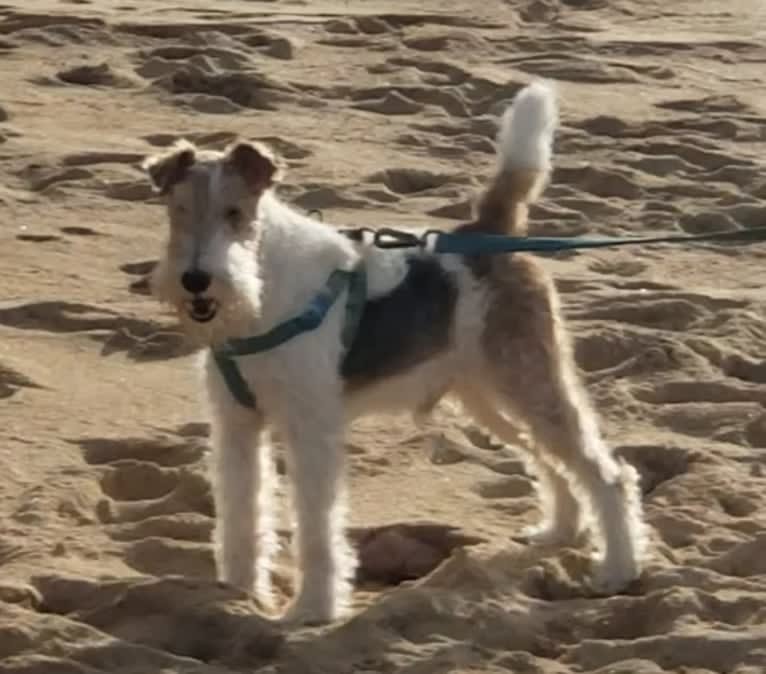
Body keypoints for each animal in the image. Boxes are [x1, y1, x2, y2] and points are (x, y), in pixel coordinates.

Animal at [142, 81, 648, 624]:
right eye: (178, 212)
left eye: (234, 213)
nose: (197, 281)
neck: (263, 296)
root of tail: (491, 230)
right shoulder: (237, 424)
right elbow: (241, 513)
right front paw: (235, 592)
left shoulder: (310, 429)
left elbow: (316, 527)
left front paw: (314, 608)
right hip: (490, 398)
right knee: (551, 461)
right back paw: (559, 531)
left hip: (528, 381)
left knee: (608, 474)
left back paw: (618, 570)